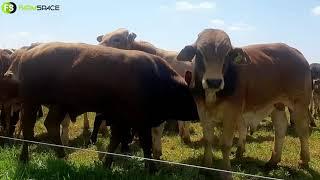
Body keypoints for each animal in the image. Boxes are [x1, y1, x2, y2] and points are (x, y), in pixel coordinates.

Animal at [0, 41, 199, 171]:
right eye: (192, 96)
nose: (198, 116)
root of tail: (28, 53)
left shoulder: (123, 120)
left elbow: (116, 141)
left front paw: (107, 163)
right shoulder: (137, 121)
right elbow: (145, 144)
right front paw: (151, 168)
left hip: (58, 105)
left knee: (51, 125)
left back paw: (62, 156)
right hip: (31, 103)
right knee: (28, 130)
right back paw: (24, 157)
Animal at [176, 28, 312, 179]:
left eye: (227, 54)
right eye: (199, 53)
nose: (214, 82)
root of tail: (296, 52)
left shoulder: (230, 114)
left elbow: (225, 144)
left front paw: (225, 172)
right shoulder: (203, 112)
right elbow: (208, 140)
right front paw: (206, 167)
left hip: (300, 104)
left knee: (302, 130)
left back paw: (304, 160)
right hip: (277, 105)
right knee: (281, 128)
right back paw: (272, 161)